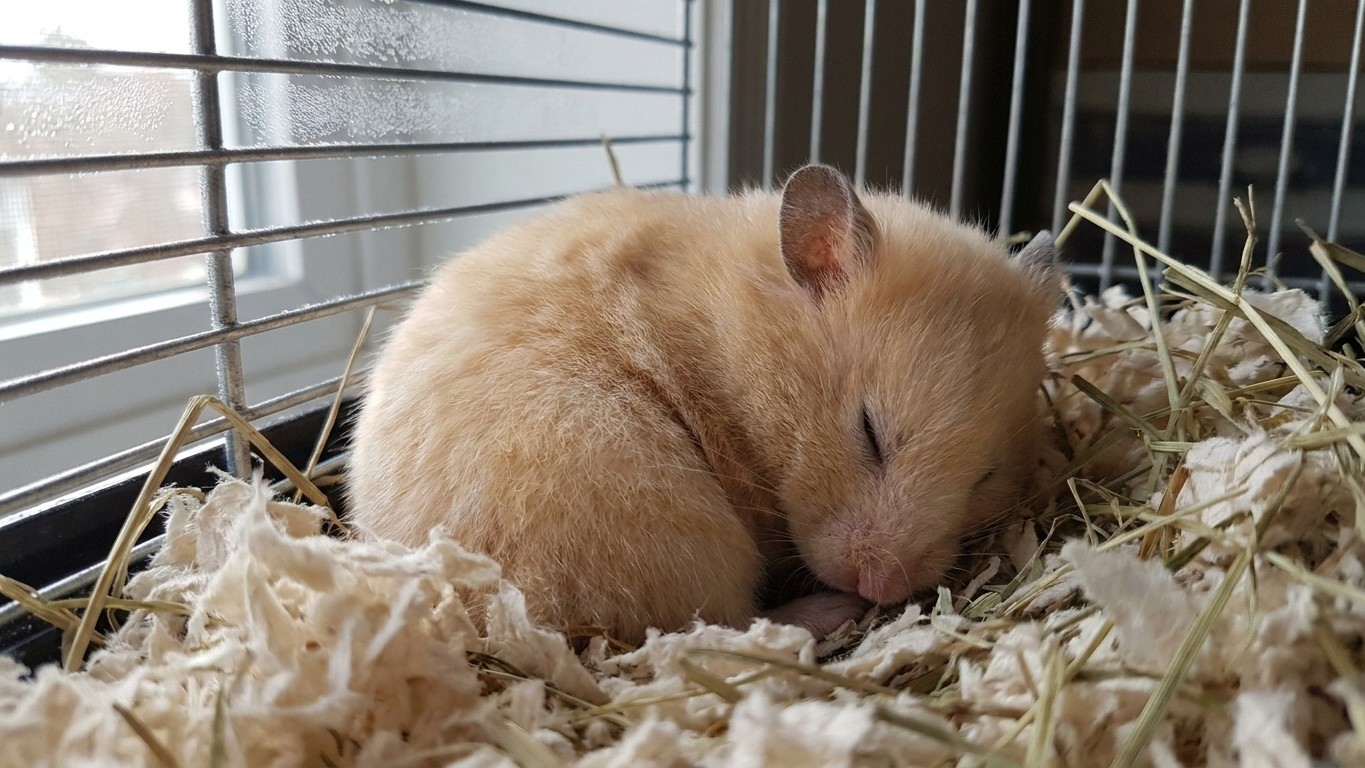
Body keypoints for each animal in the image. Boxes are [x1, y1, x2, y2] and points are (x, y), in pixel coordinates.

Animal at [346, 164, 1059, 644]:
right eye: (869, 432)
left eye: (986, 477)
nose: (881, 586)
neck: (730, 345)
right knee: (718, 623)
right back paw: (829, 611)